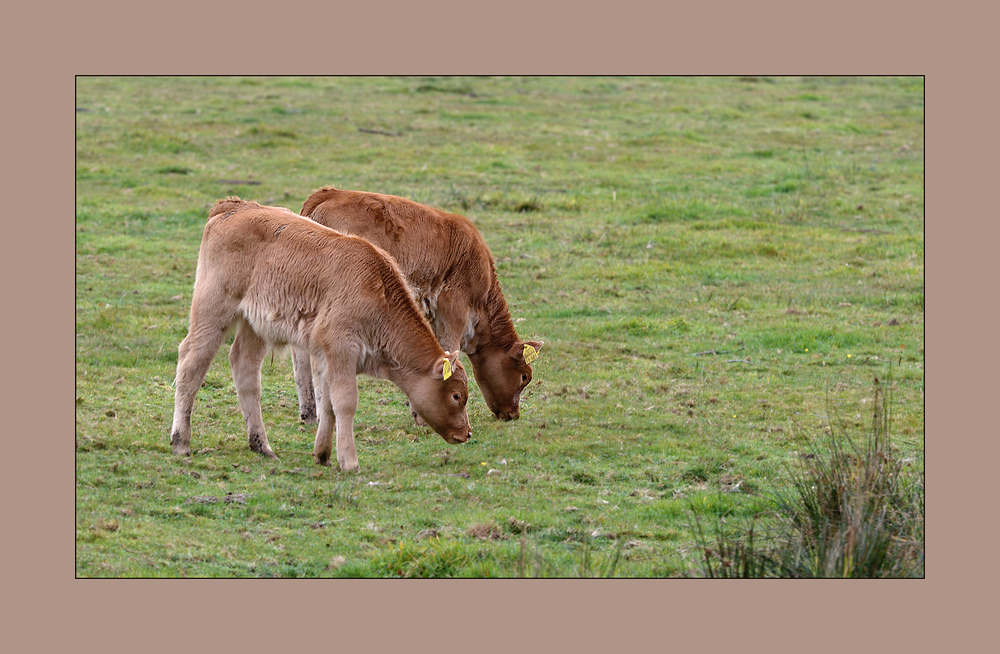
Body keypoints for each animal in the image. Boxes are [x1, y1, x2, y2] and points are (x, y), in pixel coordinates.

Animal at [169, 197, 472, 474]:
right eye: (457, 395)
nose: (467, 433)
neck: (377, 290)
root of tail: (236, 205)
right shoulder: (341, 349)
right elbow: (345, 403)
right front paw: (349, 461)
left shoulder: (327, 358)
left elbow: (327, 403)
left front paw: (323, 454)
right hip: (213, 311)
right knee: (191, 364)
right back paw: (180, 442)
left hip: (253, 325)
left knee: (245, 370)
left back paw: (262, 445)